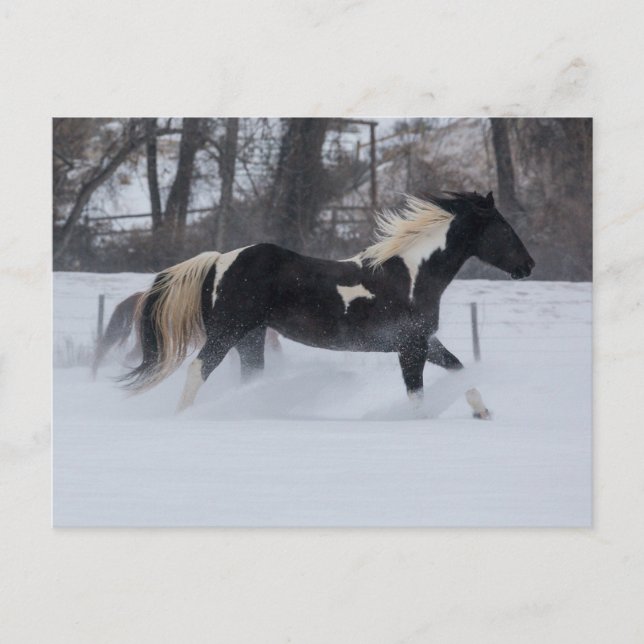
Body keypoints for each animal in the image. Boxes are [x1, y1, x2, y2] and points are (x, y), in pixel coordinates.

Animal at [121, 191, 535, 416]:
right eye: (503, 228)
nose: (528, 266)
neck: (411, 276)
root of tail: (220, 260)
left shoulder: (425, 342)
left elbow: (460, 369)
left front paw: (482, 411)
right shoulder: (410, 346)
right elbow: (416, 394)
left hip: (251, 337)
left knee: (248, 376)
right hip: (227, 332)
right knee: (198, 369)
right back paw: (185, 416)